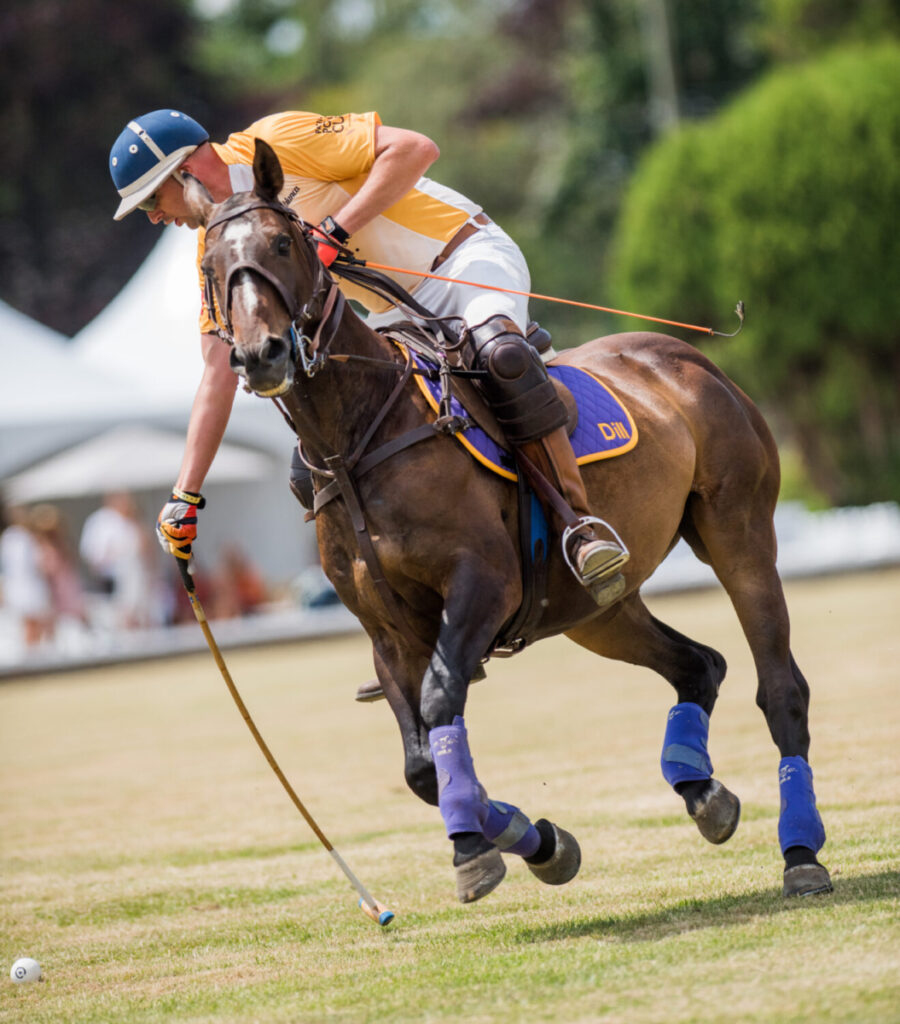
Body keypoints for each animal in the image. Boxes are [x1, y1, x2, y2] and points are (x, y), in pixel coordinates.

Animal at [186, 140, 835, 909]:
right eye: (210, 267)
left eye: (283, 243)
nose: (262, 356)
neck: (355, 439)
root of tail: (690, 356)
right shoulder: (386, 624)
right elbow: (418, 765)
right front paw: (535, 840)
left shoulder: (483, 581)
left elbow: (440, 700)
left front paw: (479, 848)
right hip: (593, 608)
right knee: (699, 664)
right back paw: (703, 792)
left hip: (739, 529)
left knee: (781, 687)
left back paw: (802, 854)